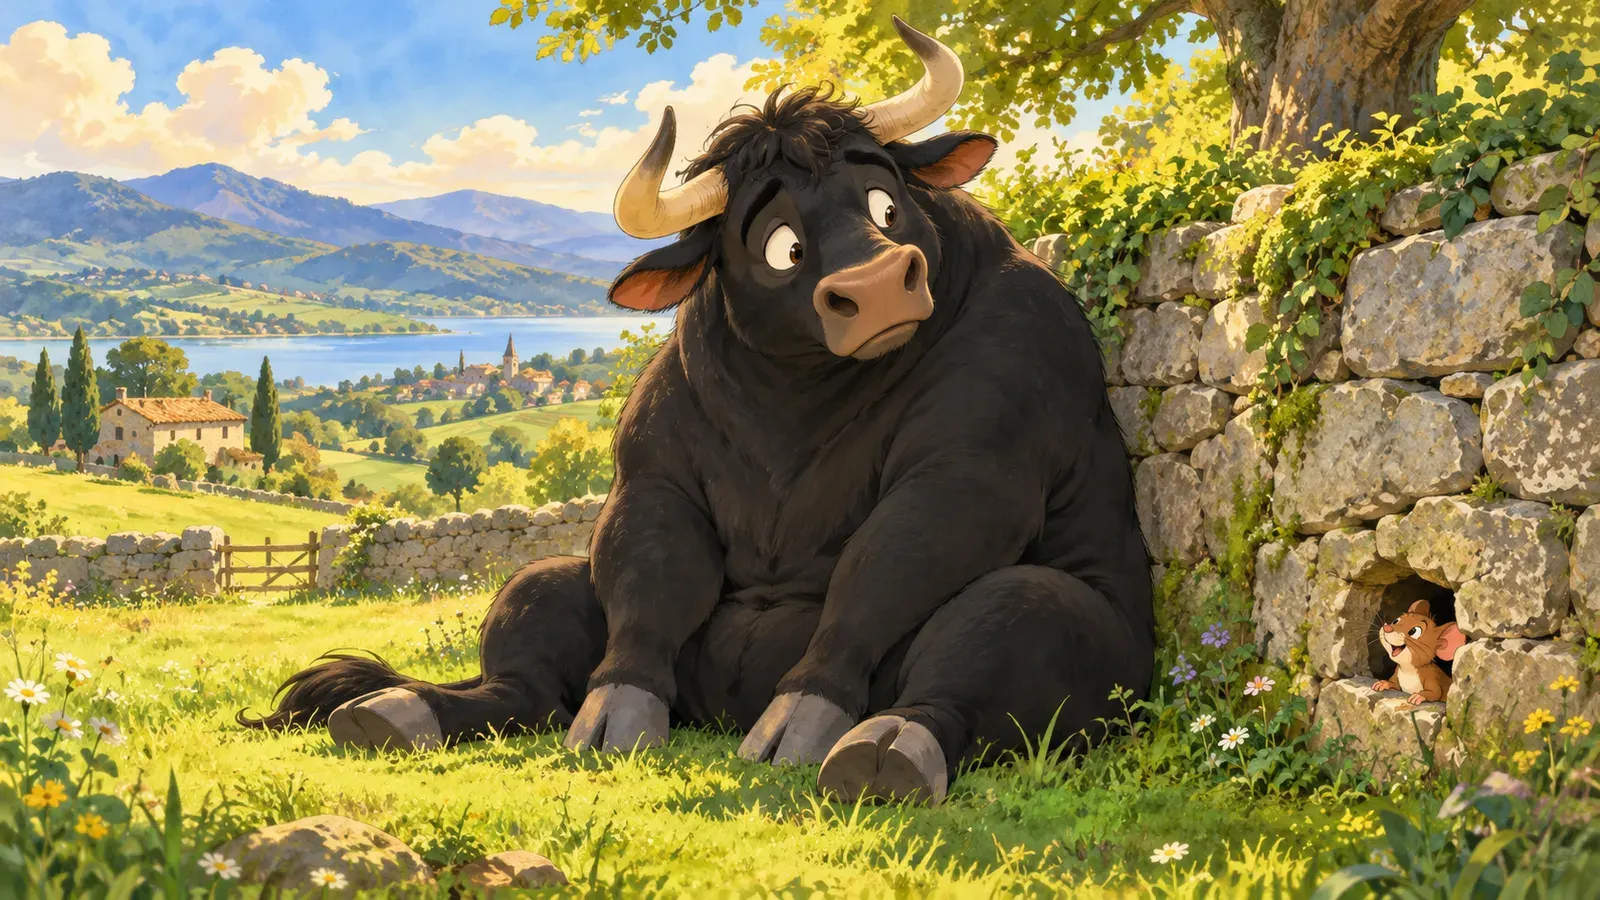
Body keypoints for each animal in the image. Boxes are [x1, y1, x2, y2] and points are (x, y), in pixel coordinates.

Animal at [241, 17, 1154, 807]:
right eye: (781, 241)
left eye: (885, 202)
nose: (877, 284)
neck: (799, 394)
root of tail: (722, 708)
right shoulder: (654, 477)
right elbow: (652, 572)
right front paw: (617, 713)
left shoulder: (979, 448)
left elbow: (885, 566)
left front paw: (804, 716)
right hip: (546, 588)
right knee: (526, 678)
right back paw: (396, 712)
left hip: (1055, 627)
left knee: (983, 645)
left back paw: (881, 749)